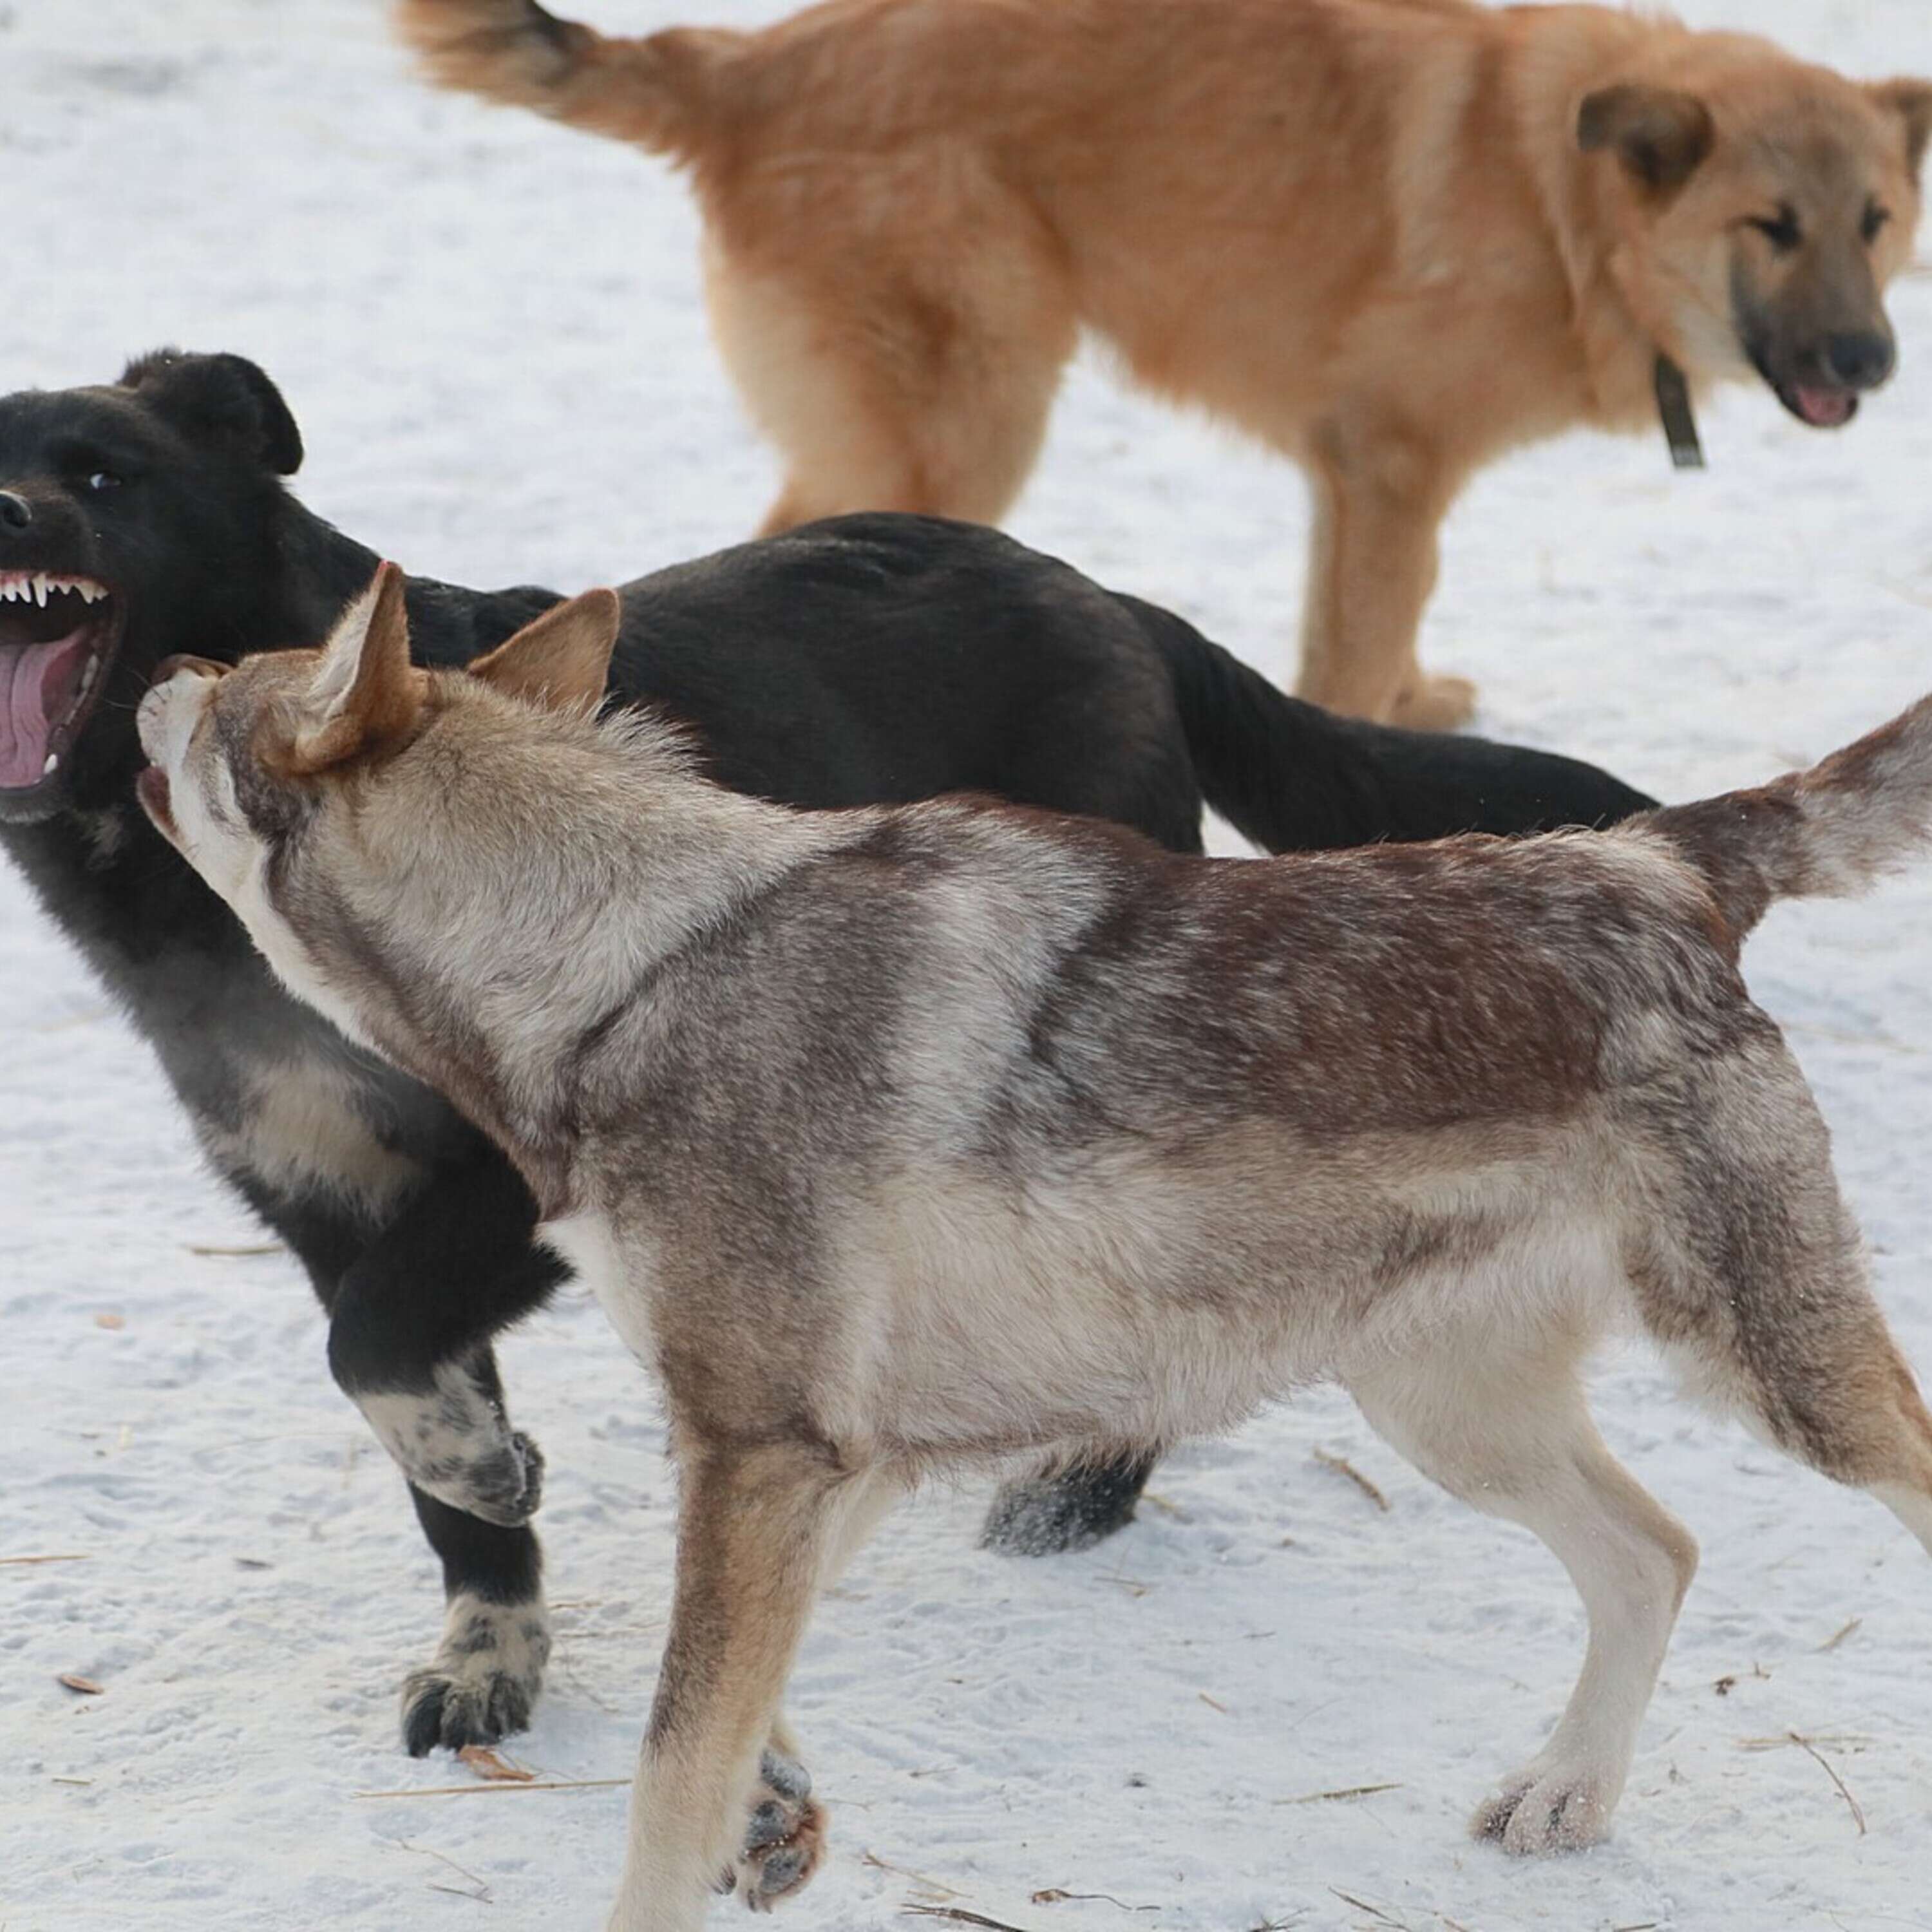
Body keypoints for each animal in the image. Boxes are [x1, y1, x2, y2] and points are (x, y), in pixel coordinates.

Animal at [3, 348, 1662, 1754]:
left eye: (99, 472)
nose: (9, 509)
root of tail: (1111, 601)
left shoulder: (522, 1179)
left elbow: (377, 1346)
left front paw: (487, 1467)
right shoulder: (319, 1197)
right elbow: (408, 1419)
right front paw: (488, 1638)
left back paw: (1081, 1490)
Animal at [140, 564, 1932, 1924]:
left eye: (235, 676)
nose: (159, 664)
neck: (626, 968)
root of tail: (1658, 858)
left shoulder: (759, 1450)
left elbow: (662, 1779)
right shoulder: (823, 1460)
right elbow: (736, 1717)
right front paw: (776, 1815)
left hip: (1776, 1381)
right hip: (1447, 1415)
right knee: (1657, 1553)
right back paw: (1565, 1796)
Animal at [396, 0, 1932, 726]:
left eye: (1874, 221)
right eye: (1772, 226)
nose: (1870, 360)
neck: (1567, 201)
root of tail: (742, 64)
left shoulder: (1363, 481)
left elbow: (1381, 627)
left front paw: (1414, 706)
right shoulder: (1392, 462)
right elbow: (1357, 644)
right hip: (971, 420)